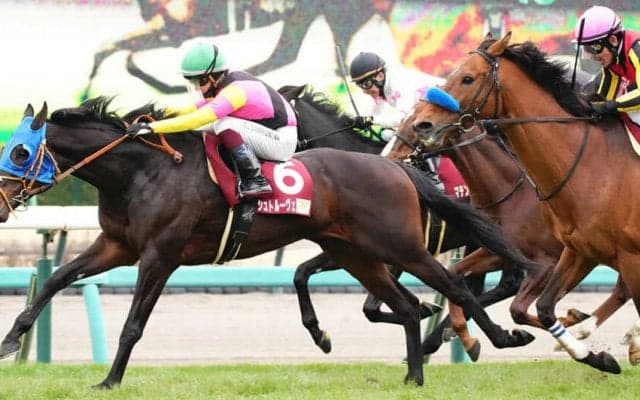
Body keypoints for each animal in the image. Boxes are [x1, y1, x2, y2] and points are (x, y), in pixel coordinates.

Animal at [0, 98, 536, 387]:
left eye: (21, 151)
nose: (3, 202)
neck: (140, 172)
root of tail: (396, 168)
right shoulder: (118, 245)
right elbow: (57, 280)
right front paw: (10, 341)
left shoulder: (159, 256)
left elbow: (134, 324)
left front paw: (110, 379)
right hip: (354, 252)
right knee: (406, 305)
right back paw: (413, 375)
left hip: (402, 246)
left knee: (458, 286)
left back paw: (498, 337)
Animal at [407, 32, 640, 373]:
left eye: (467, 78)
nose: (423, 125)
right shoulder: (575, 250)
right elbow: (535, 307)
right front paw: (594, 355)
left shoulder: (578, 259)